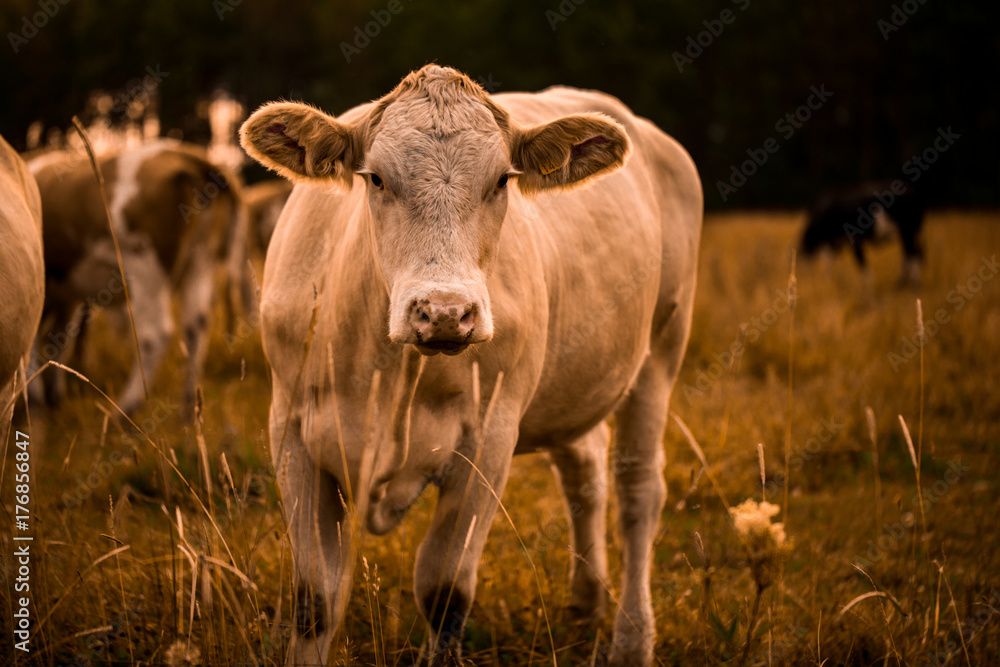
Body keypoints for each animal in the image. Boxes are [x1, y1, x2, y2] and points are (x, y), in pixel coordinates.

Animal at [240, 64, 704, 667]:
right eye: (376, 179)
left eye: (502, 180)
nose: (444, 312)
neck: (388, 373)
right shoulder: (291, 430)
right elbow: (315, 598)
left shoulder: (489, 438)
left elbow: (445, 592)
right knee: (584, 473)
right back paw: (586, 604)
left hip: (661, 351)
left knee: (638, 492)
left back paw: (631, 638)